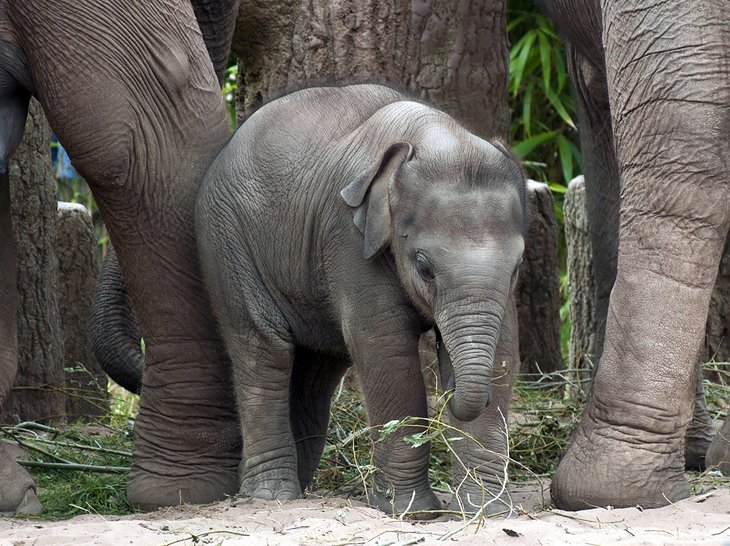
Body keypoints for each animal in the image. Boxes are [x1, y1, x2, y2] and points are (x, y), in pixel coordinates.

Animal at [196, 83, 528, 512]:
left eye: (518, 266)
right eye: (424, 267)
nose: (452, 386)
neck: (431, 135)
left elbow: (504, 347)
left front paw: (486, 509)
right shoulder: (348, 238)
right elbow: (384, 345)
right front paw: (413, 512)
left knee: (316, 371)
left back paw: (302, 486)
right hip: (225, 243)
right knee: (265, 351)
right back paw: (273, 496)